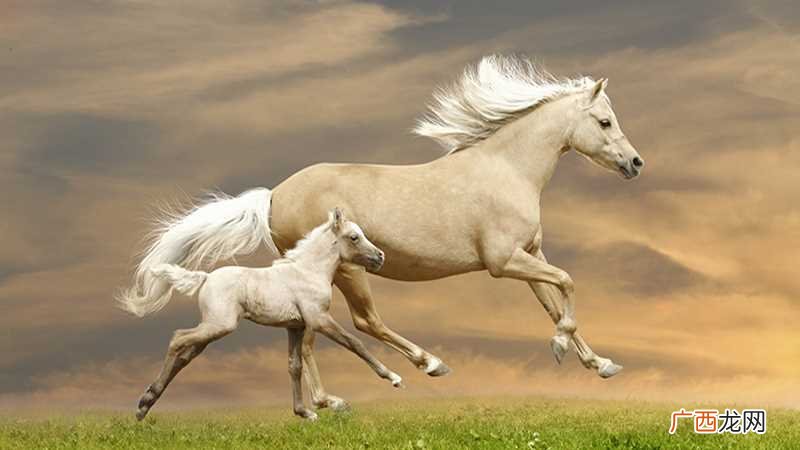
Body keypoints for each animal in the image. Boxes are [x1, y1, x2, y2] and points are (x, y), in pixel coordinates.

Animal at [135, 208, 402, 420]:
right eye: (354, 237)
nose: (380, 256)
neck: (309, 271)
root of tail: (206, 278)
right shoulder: (319, 319)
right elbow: (354, 343)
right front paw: (391, 378)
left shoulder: (295, 326)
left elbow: (294, 366)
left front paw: (304, 412)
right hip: (219, 325)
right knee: (178, 338)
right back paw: (145, 401)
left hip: (211, 330)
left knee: (184, 355)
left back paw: (145, 405)